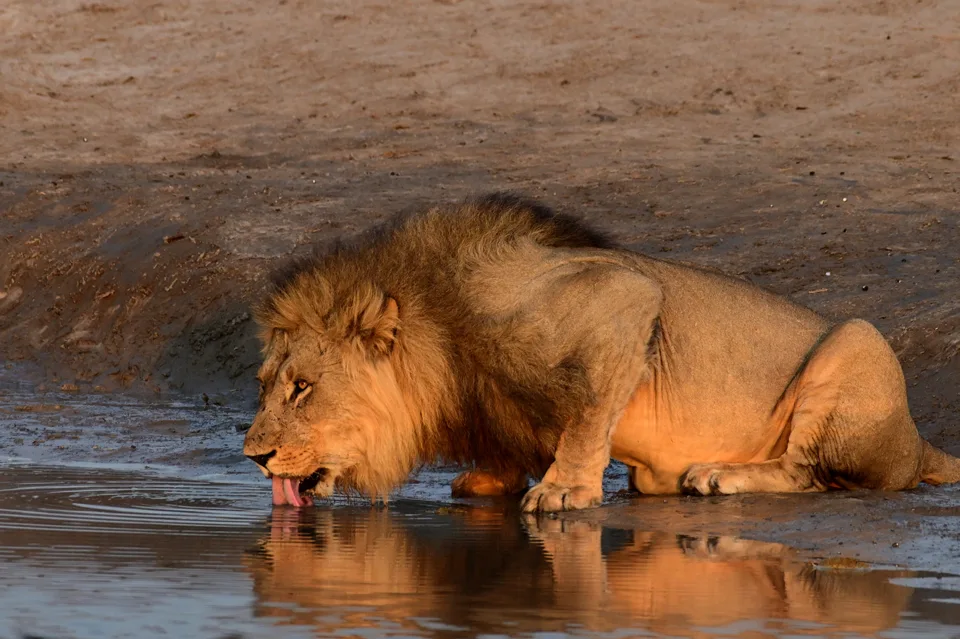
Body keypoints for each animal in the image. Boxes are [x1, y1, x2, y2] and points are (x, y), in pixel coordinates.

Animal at [244, 192, 960, 512]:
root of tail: (916, 440)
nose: (254, 457)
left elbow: (588, 414)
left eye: (302, 388)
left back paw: (718, 475)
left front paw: (563, 490)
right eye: (264, 384)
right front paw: (491, 479)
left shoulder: (623, 298)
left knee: (809, 472)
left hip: (857, 340)